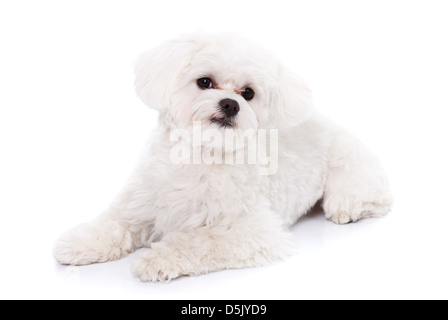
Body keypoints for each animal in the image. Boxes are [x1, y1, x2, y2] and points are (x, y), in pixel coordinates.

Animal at [54, 33, 394, 282]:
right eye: (205, 82)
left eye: (248, 93)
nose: (231, 104)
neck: (201, 156)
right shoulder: (139, 205)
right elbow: (112, 224)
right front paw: (81, 243)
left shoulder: (255, 232)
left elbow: (202, 241)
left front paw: (158, 258)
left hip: (351, 176)